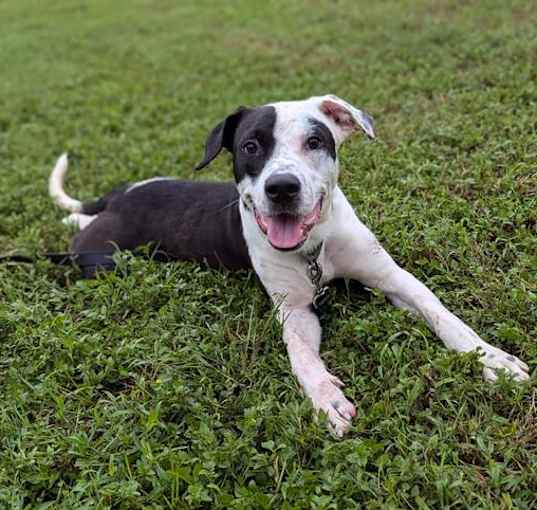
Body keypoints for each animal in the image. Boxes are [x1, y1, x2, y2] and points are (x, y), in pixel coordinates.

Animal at [49, 94, 528, 434]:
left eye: (314, 142)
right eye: (249, 146)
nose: (282, 187)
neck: (315, 247)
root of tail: (116, 196)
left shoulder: (393, 278)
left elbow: (443, 315)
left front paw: (492, 358)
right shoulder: (295, 310)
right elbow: (300, 354)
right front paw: (324, 397)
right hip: (107, 259)